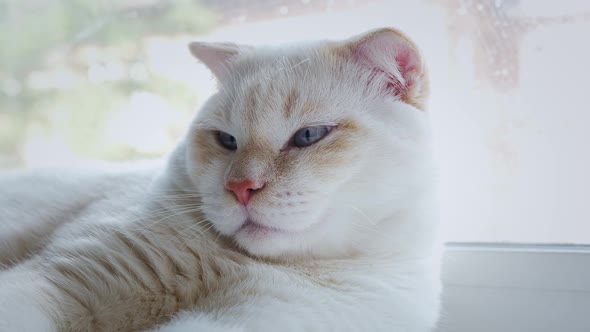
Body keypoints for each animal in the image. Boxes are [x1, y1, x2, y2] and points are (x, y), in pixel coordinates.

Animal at [0, 28, 442, 332]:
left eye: (310, 135)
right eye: (226, 140)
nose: (241, 189)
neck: (240, 264)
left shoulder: (240, 321)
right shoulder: (57, 282)